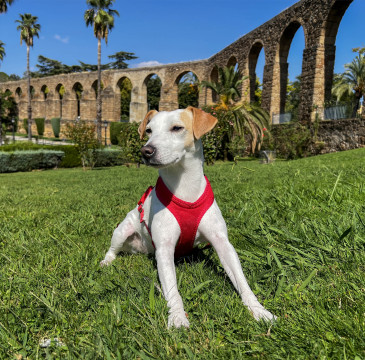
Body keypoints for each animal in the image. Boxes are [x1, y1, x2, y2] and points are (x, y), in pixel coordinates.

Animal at [100, 105, 276, 328]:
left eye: (177, 128)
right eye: (148, 131)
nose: (146, 151)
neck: (185, 189)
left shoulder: (222, 243)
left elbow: (241, 280)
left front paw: (258, 310)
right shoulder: (164, 249)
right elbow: (172, 289)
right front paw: (176, 317)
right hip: (123, 230)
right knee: (113, 249)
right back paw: (106, 262)